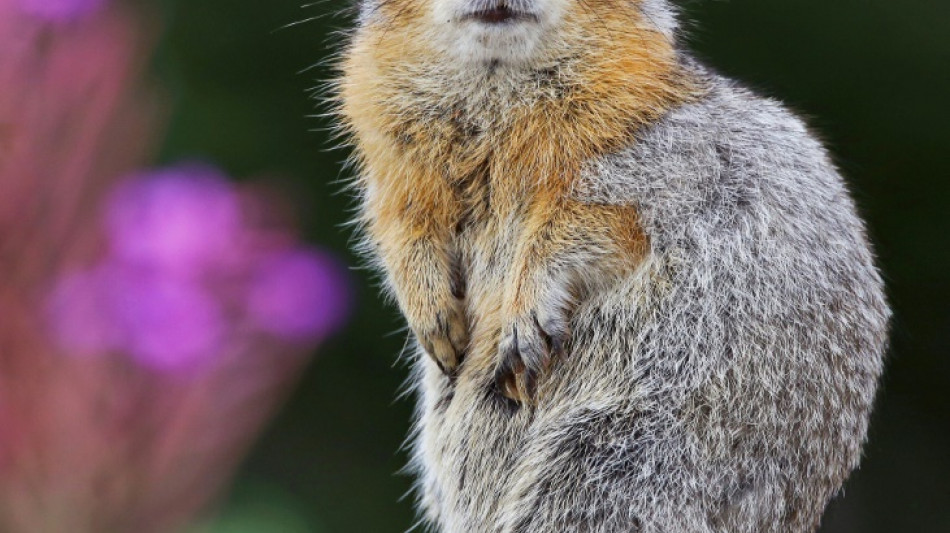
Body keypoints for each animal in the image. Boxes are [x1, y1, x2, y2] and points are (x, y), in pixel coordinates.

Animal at [335, 0, 890, 531]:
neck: (495, 93)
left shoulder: (649, 160)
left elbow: (583, 224)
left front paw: (524, 316)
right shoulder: (398, 172)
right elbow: (402, 228)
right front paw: (433, 317)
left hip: (608, 463)